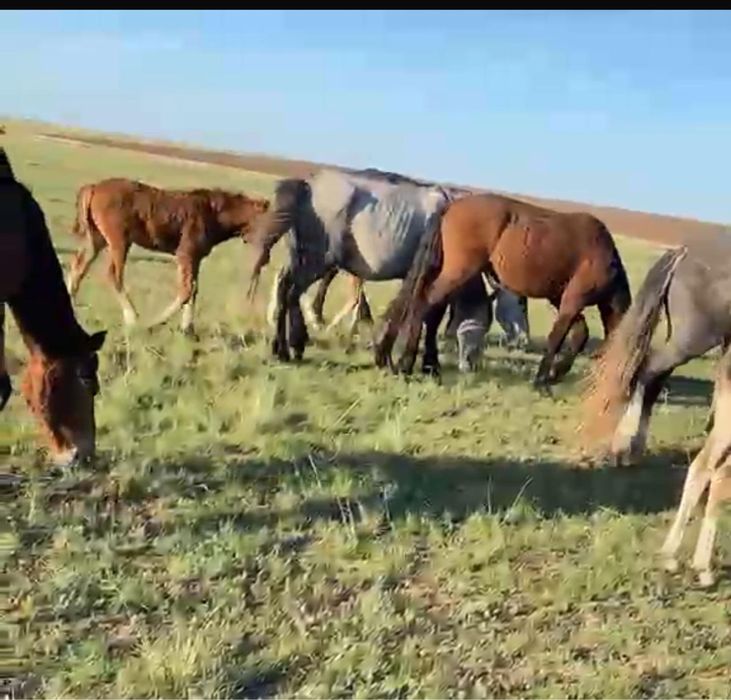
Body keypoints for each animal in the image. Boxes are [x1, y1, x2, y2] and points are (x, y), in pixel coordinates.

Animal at [66, 178, 270, 333]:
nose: (265, 255)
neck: (214, 214)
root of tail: (93, 187)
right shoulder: (185, 254)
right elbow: (186, 290)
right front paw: (155, 323)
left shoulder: (196, 258)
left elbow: (194, 290)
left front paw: (188, 329)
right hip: (119, 241)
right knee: (113, 275)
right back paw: (133, 318)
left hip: (97, 238)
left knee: (79, 266)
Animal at [247, 167, 492, 373]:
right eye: (484, 325)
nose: (472, 365)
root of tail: (308, 186)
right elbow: (430, 319)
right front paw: (429, 364)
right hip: (316, 262)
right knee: (289, 291)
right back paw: (286, 349)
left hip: (301, 259)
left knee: (286, 290)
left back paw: (289, 346)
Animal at [374, 192, 631, 390]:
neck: (605, 257)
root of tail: (451, 207)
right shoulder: (572, 300)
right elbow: (558, 338)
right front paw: (542, 381)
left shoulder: (561, 299)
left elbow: (579, 334)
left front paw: (555, 373)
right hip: (457, 271)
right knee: (424, 305)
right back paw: (407, 364)